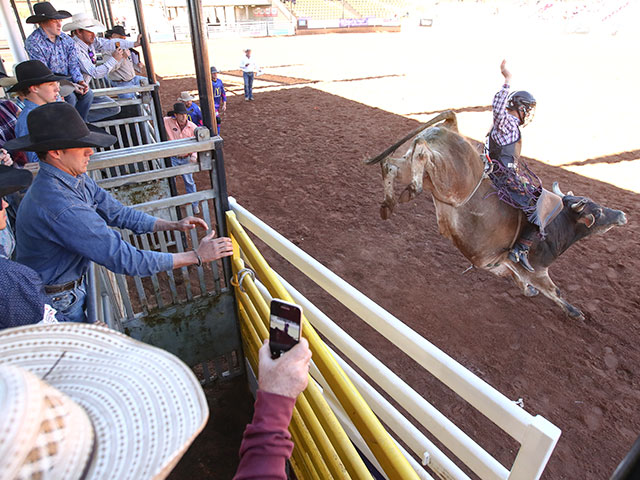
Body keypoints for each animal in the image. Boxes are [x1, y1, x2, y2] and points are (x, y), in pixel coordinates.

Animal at [368, 111, 628, 320]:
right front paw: (575, 312)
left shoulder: (497, 263)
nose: (621, 215)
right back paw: (412, 189)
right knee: (421, 152)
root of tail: (452, 127)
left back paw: (391, 202)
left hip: (415, 171)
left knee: (390, 164)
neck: (556, 226)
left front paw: (528, 291)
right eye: (598, 211)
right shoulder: (537, 269)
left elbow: (516, 278)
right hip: (448, 181)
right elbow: (553, 290)